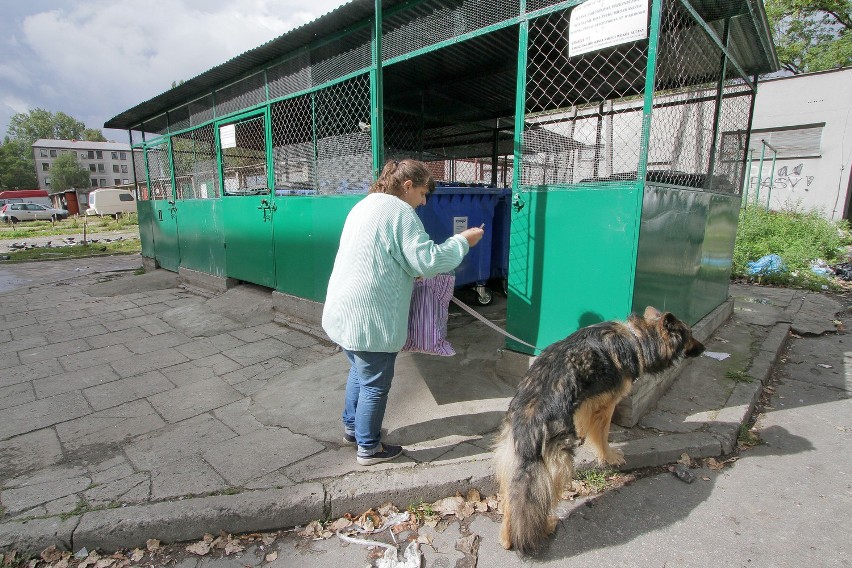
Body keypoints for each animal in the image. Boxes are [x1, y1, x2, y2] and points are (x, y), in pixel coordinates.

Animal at [492, 306, 704, 556]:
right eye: (690, 334)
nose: (704, 348)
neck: (637, 338)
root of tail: (530, 415)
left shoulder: (587, 402)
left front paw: (586, 436)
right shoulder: (606, 404)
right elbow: (602, 435)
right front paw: (610, 456)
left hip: (512, 459)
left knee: (512, 500)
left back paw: (507, 537)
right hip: (560, 464)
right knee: (542, 498)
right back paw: (545, 526)